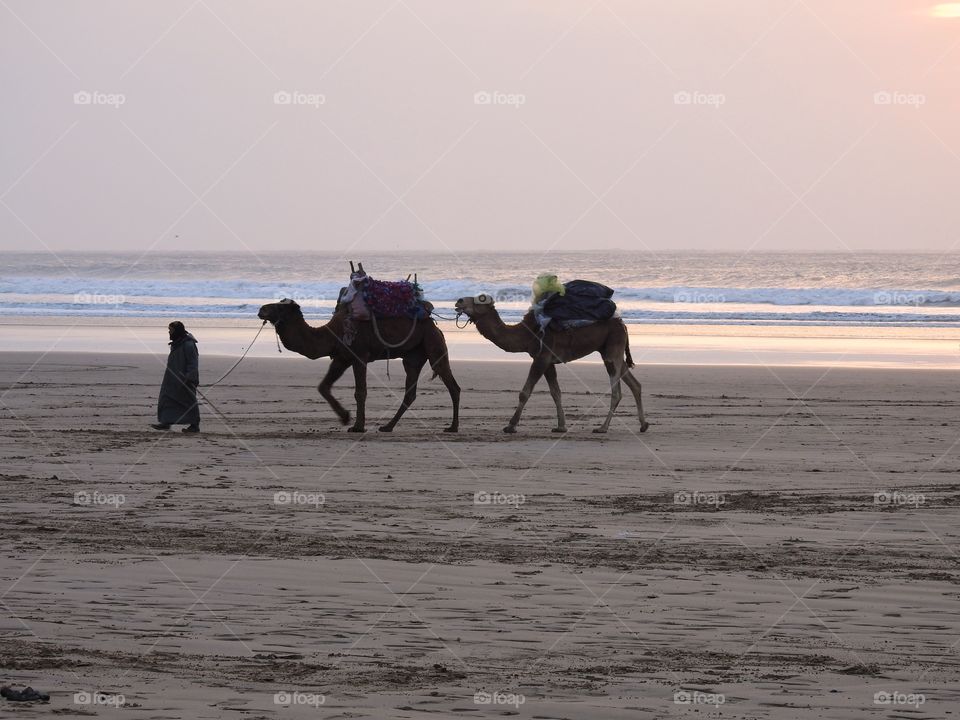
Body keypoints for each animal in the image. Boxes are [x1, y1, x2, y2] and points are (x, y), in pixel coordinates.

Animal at [256, 298, 460, 434]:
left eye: (280, 306)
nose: (261, 309)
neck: (331, 334)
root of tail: (435, 325)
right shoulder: (341, 358)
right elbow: (323, 386)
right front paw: (345, 417)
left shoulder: (359, 356)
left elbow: (360, 391)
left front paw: (357, 426)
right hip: (413, 357)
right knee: (410, 392)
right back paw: (387, 426)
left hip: (433, 345)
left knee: (452, 385)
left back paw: (453, 427)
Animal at [454, 292, 648, 434]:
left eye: (480, 299)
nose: (459, 301)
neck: (526, 334)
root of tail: (623, 325)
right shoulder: (548, 361)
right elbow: (556, 393)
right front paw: (561, 426)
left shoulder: (542, 357)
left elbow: (525, 392)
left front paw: (510, 426)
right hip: (609, 349)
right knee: (634, 384)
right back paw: (643, 424)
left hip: (613, 348)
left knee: (617, 391)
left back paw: (602, 428)